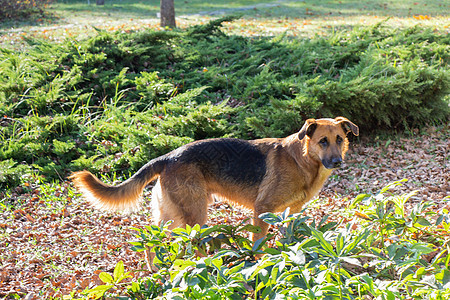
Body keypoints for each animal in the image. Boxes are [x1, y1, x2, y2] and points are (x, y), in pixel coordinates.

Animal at [70, 116, 358, 243]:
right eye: (322, 141)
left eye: (339, 139)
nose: (337, 162)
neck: (303, 161)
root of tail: (169, 156)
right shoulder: (262, 209)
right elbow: (259, 243)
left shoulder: (292, 211)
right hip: (195, 214)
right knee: (192, 242)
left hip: (172, 214)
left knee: (153, 240)